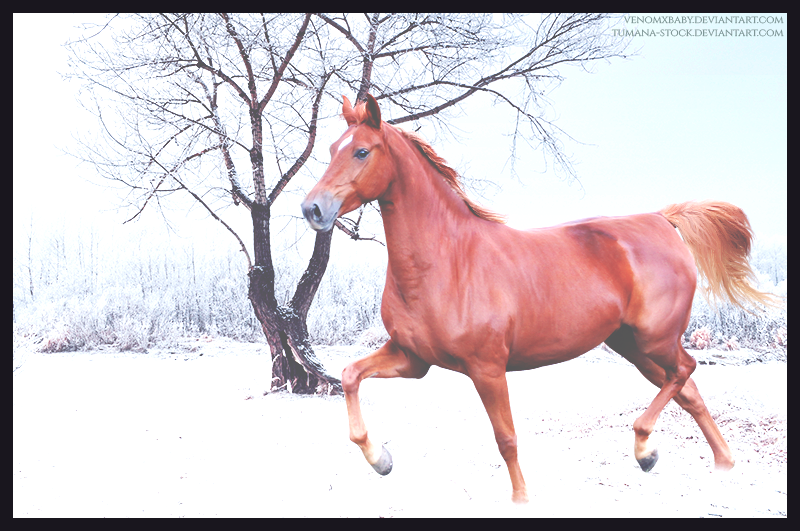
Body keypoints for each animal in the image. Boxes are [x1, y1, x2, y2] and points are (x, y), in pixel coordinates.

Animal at [300, 93, 776, 504]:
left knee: (685, 372)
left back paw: (645, 449)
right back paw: (716, 465)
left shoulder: (487, 369)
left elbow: (506, 437)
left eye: (362, 152)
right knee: (688, 389)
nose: (312, 209)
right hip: (633, 346)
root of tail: (662, 220)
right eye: (331, 148)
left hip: (655, 340)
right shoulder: (412, 359)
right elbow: (349, 376)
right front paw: (381, 460)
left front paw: (521, 498)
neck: (446, 261)